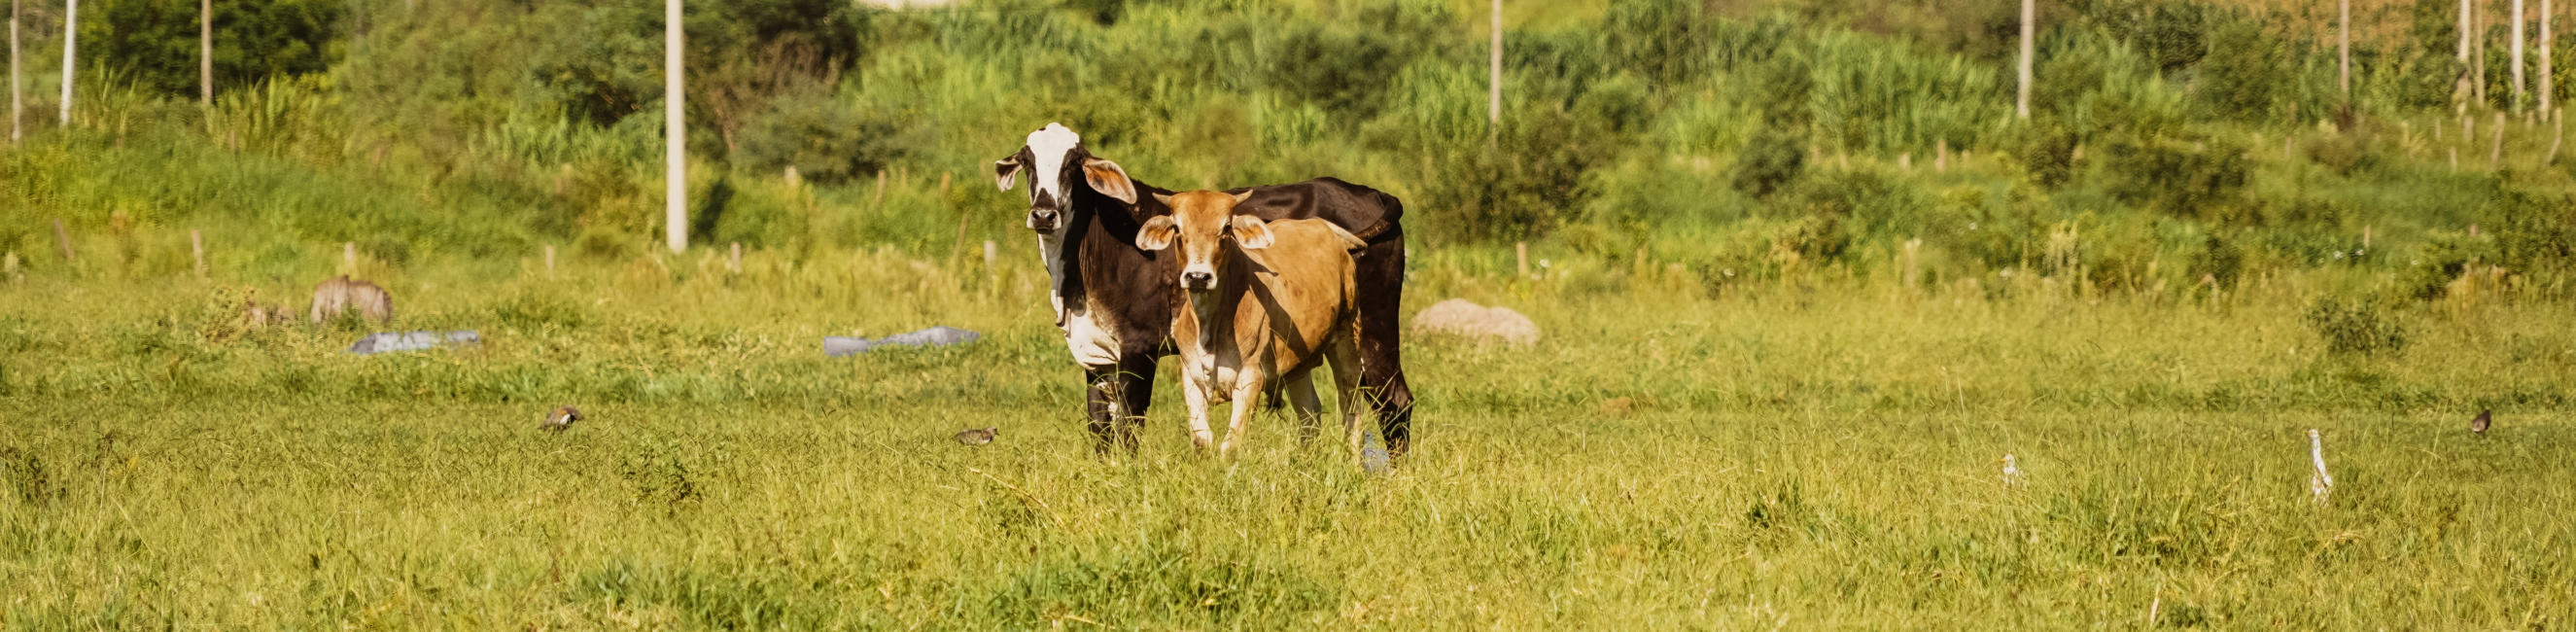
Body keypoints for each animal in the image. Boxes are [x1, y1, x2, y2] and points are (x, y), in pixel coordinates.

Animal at [1140, 191, 1367, 461]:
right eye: (1176, 228)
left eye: (1226, 228)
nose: (1198, 277)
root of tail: (1318, 224)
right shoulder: (1190, 375)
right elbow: (1201, 441)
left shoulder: (1250, 377)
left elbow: (1231, 445)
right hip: (1299, 364)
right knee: (1309, 412)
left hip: (1349, 337)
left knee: (1351, 404)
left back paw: (1354, 462)